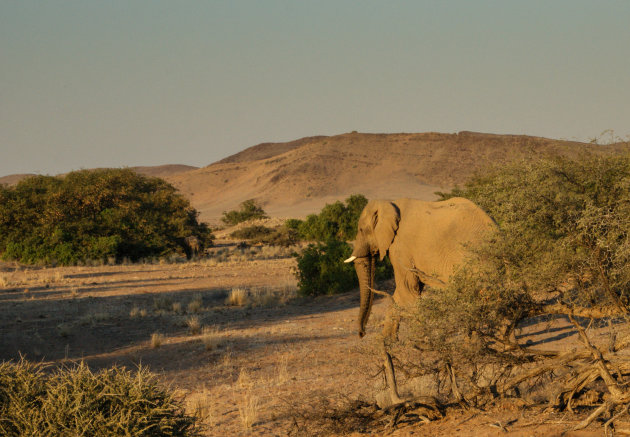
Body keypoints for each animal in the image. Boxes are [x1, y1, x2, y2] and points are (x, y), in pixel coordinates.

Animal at [346, 196, 498, 404]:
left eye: (362, 230)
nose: (361, 333)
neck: (390, 203)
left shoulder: (400, 247)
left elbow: (406, 291)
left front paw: (420, 341)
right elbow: (402, 295)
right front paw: (388, 340)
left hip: (473, 255)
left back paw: (473, 347)